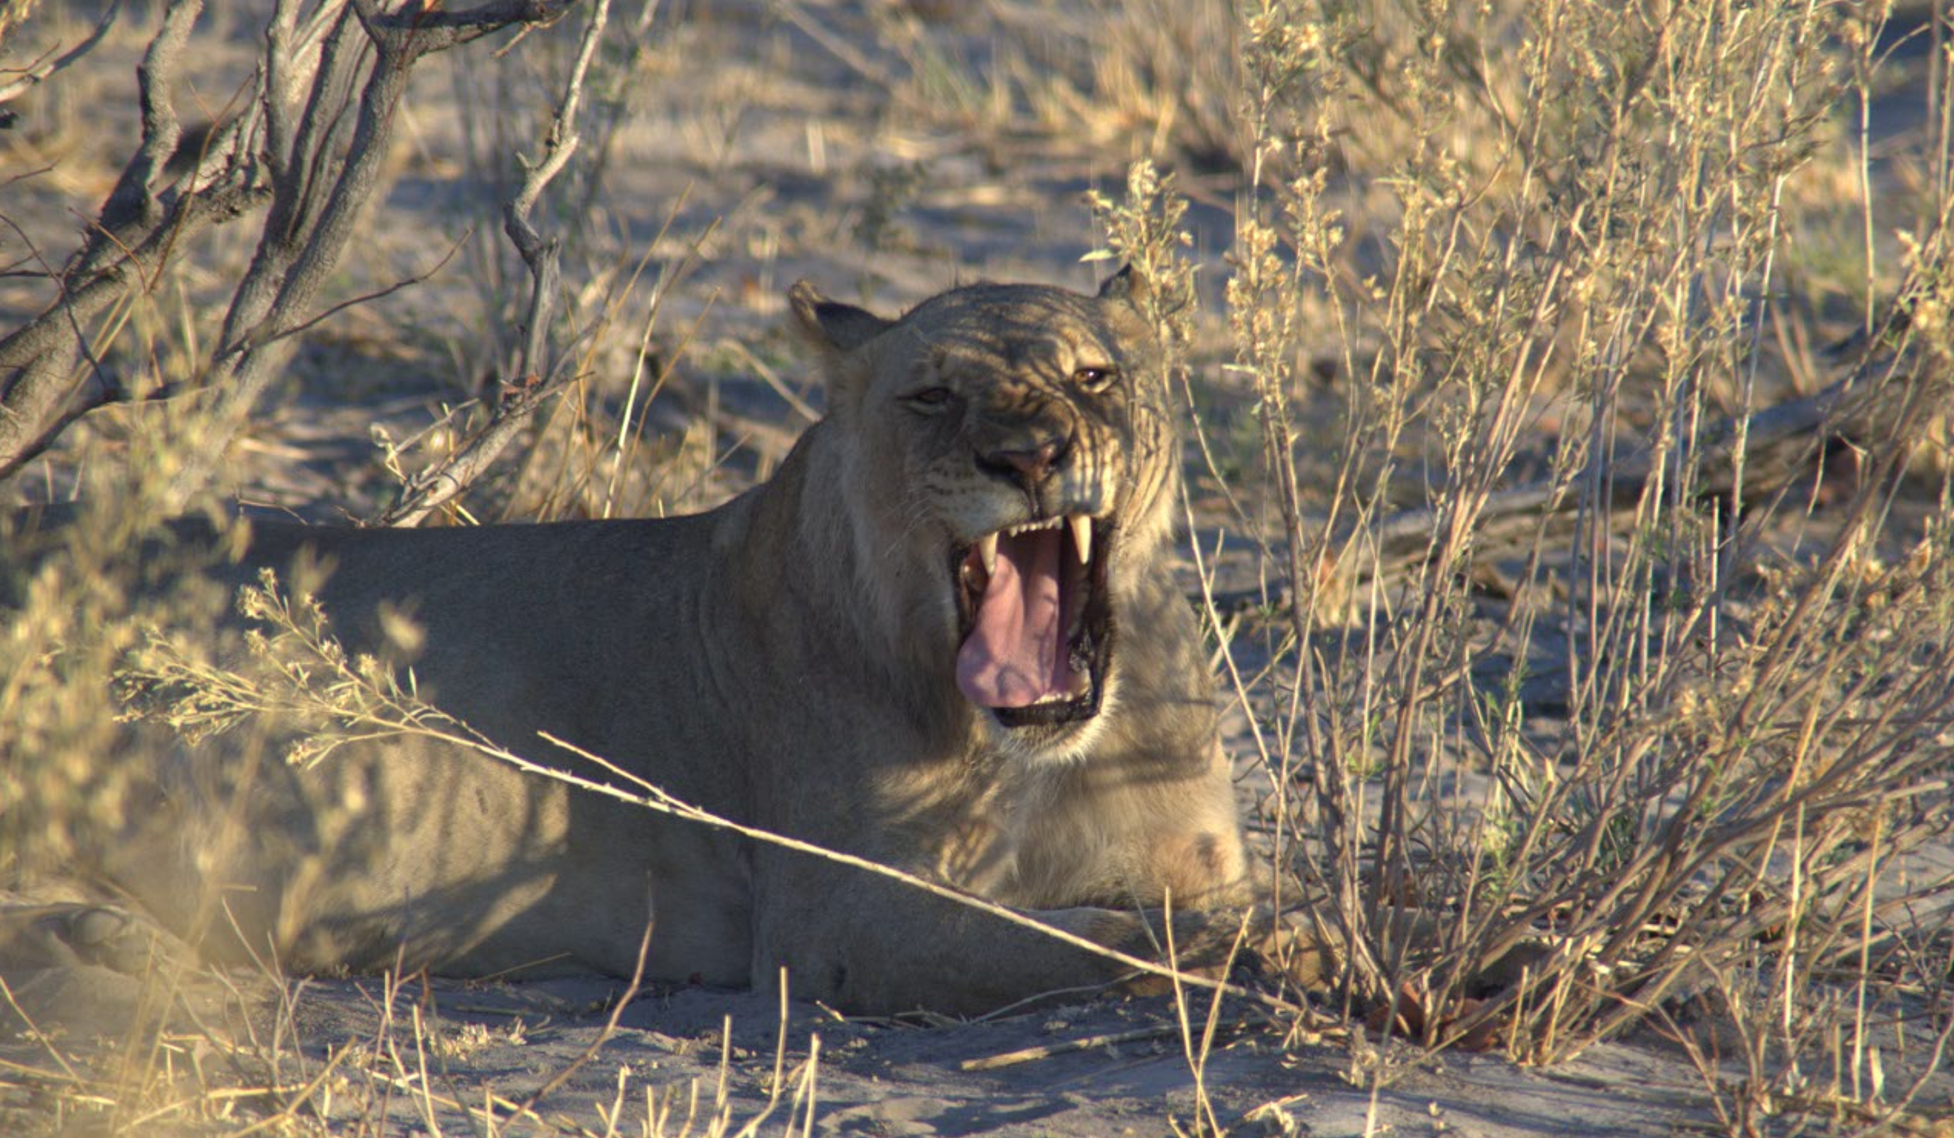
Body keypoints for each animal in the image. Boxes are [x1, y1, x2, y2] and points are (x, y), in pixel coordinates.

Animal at [2, 270, 1302, 1016]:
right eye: (930, 396)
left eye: (1095, 376)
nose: (1027, 457)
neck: (1053, 747)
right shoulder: (841, 927)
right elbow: (1102, 939)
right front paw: (1280, 947)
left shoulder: (1195, 855)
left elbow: (1191, 909)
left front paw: (1289, 930)